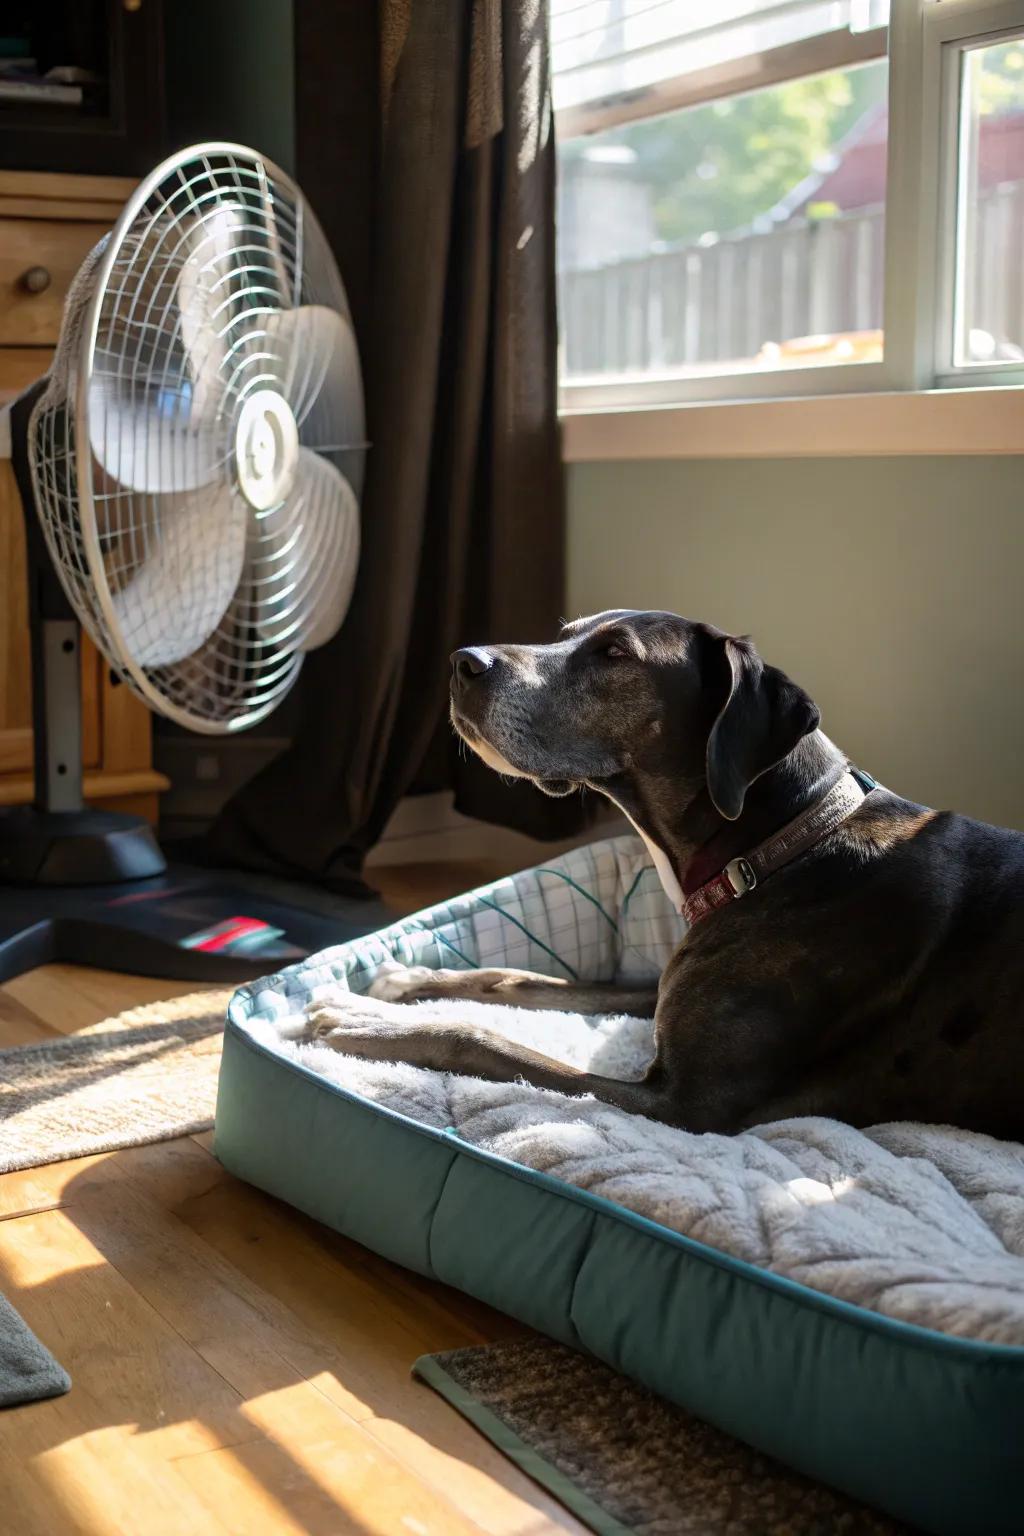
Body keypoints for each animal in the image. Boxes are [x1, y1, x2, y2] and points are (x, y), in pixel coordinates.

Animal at [314, 611, 1024, 1142]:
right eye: (567, 632)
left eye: (614, 654)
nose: (463, 662)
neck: (779, 848)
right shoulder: (658, 992)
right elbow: (526, 981)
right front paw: (406, 982)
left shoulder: (686, 1105)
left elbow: (479, 1040)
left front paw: (366, 1024)